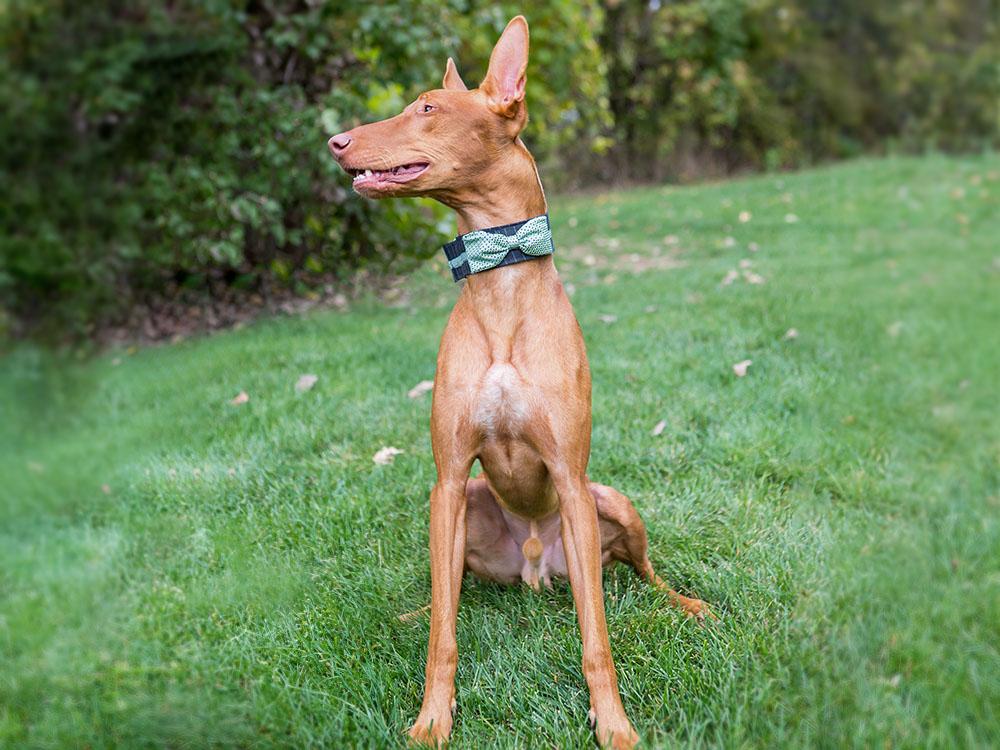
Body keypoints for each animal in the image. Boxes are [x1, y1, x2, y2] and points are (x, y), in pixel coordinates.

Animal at [330, 14, 712, 748]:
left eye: (428, 108)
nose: (334, 141)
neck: (500, 280)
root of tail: (536, 566)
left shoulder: (569, 474)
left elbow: (596, 635)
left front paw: (612, 722)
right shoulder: (449, 480)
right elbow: (445, 631)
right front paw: (433, 718)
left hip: (608, 502)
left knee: (644, 573)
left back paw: (686, 603)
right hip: (467, 507)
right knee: (450, 590)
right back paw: (412, 611)